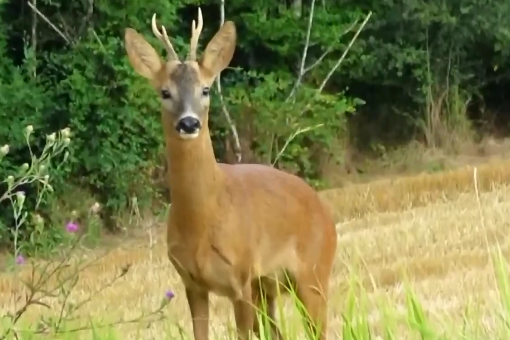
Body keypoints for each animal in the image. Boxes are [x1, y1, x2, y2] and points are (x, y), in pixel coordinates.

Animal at [124, 8, 338, 340]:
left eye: (205, 89)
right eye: (165, 92)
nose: (189, 123)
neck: (202, 220)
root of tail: (327, 215)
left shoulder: (240, 277)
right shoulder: (193, 283)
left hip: (313, 273)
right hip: (268, 287)